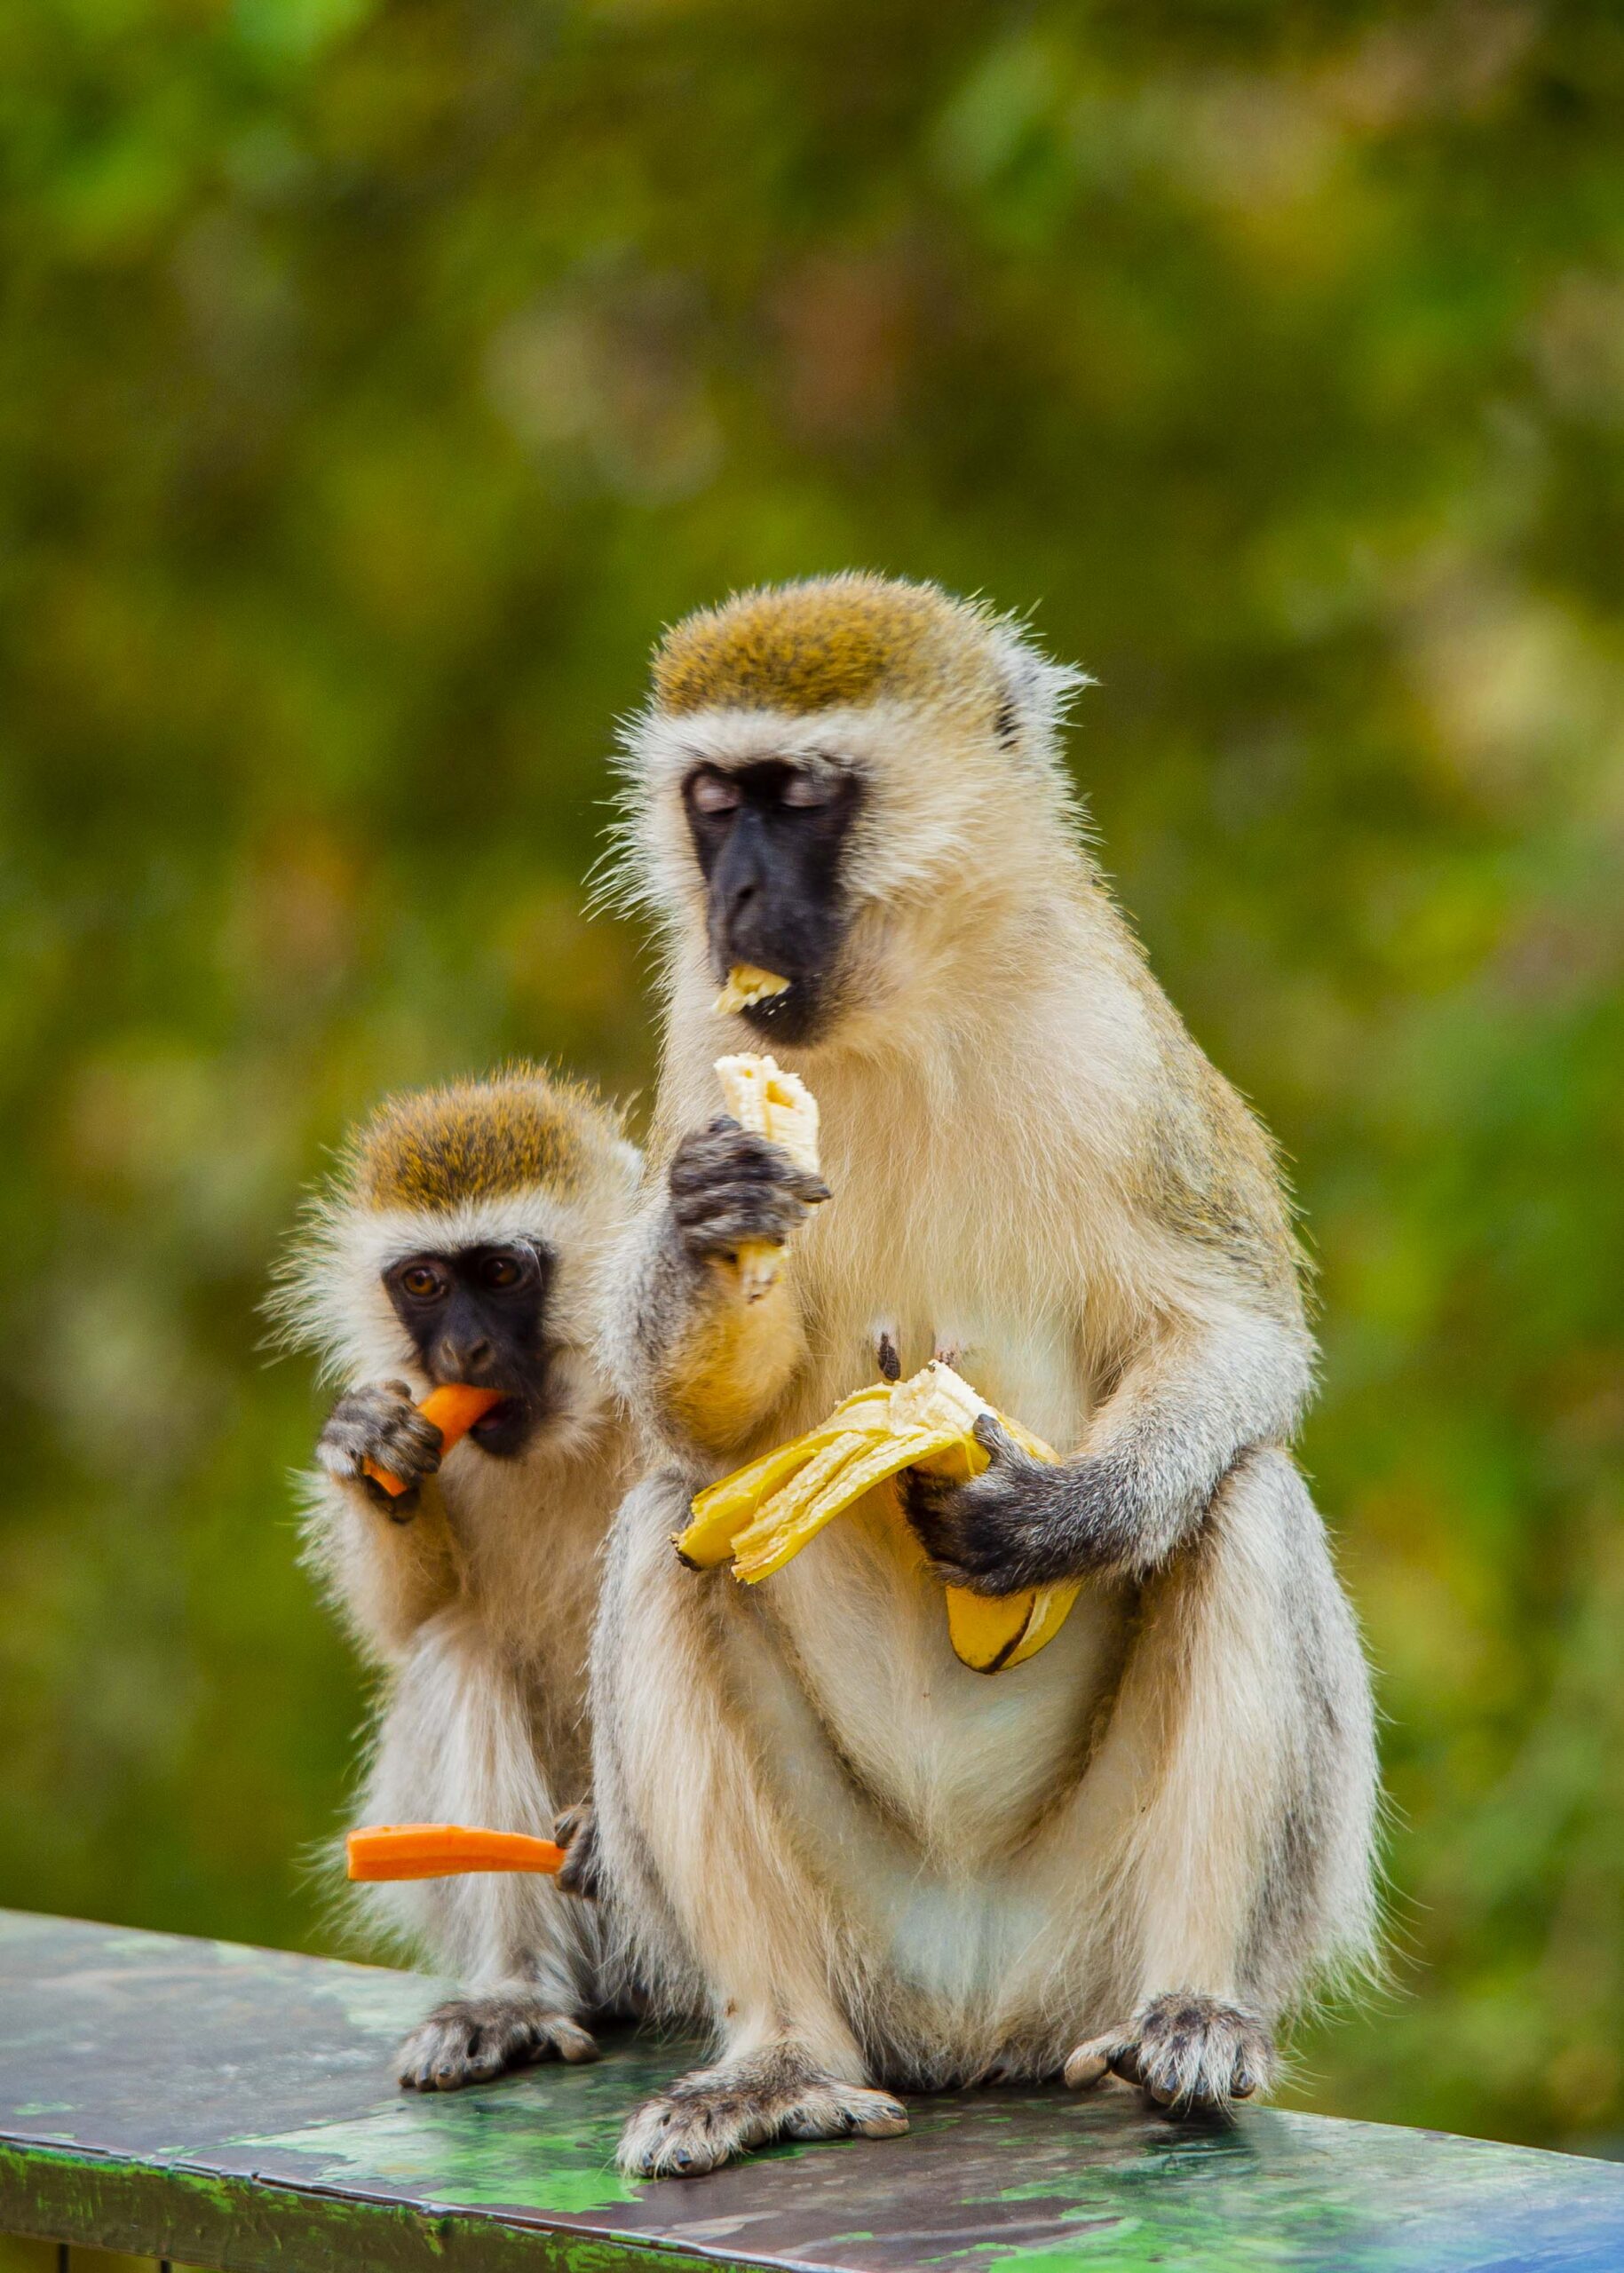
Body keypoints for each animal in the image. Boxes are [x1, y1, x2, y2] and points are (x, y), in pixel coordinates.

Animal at [271, 1065, 641, 2090]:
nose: (463, 1355)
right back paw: (509, 1998)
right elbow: (407, 1623)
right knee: (459, 1647)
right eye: (424, 1282)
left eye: (503, 1274)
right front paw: (367, 1450)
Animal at [586, 573, 1380, 2177]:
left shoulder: (1117, 1044)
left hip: (1086, 1929)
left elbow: (1238, 1337)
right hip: (866, 1930)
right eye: (712, 801)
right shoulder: (707, 1040)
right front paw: (706, 1225)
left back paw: (1194, 2014)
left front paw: (1066, 1517)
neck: (910, 1004)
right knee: (668, 1524)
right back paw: (773, 2060)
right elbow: (691, 1418)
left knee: (1243, 1500)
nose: (733, 902)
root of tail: (970, 2012)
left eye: (797, 798)